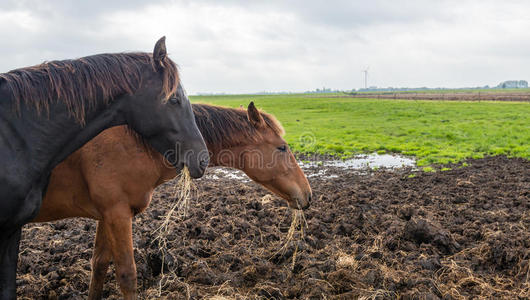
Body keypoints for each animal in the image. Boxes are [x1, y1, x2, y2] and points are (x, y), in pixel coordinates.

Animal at [31, 102, 310, 298]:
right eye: (282, 147)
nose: (307, 194)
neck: (137, 144)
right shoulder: (118, 214)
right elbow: (127, 275)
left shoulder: (107, 215)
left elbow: (98, 266)